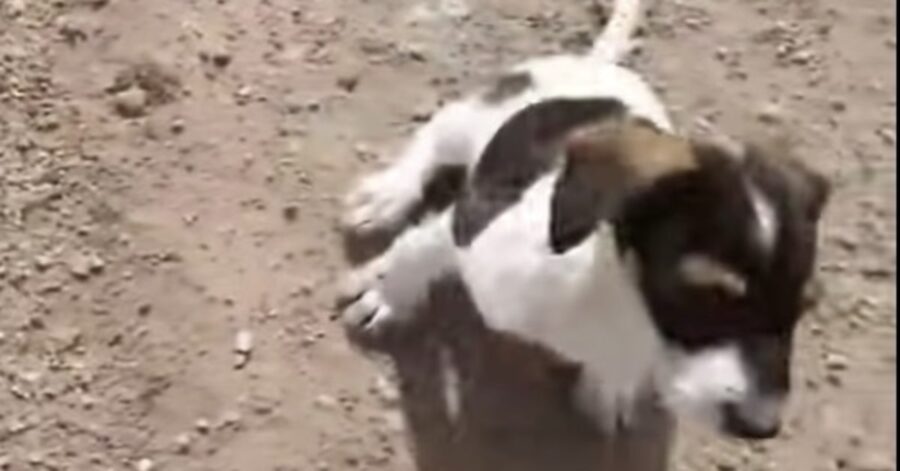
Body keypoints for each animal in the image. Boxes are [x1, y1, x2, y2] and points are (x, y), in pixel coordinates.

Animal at [340, 0, 828, 442]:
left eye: (804, 306)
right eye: (708, 291)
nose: (762, 428)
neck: (613, 303)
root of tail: (597, 66)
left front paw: (607, 389)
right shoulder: (471, 219)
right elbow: (414, 251)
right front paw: (385, 293)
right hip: (469, 122)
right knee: (431, 144)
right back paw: (386, 195)